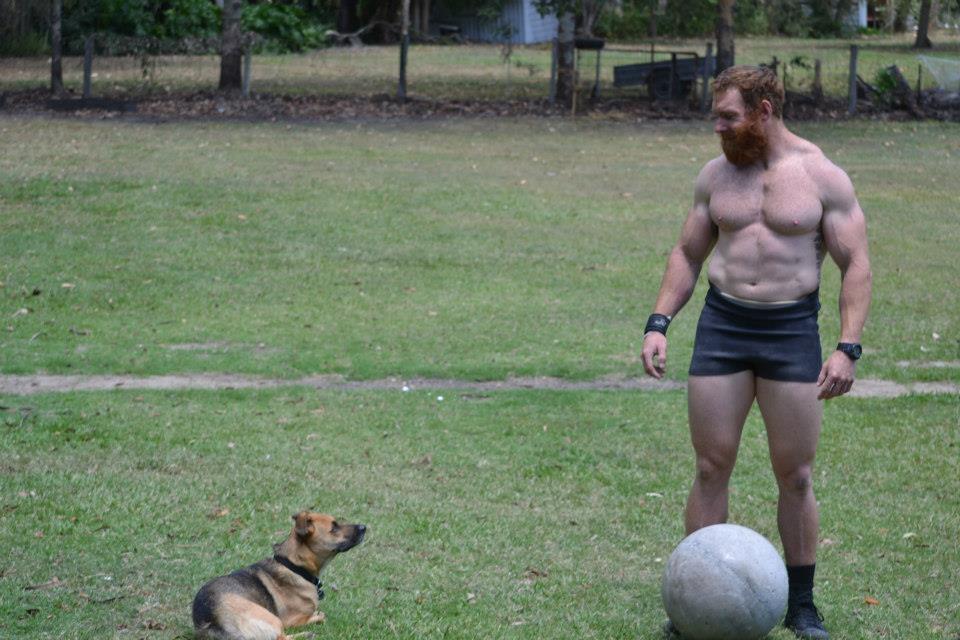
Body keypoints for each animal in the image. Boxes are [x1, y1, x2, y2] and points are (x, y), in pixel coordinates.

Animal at [192, 510, 366, 640]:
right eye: (334, 527)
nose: (364, 527)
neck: (294, 566)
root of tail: (213, 620)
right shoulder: (291, 620)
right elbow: (317, 616)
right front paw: (317, 617)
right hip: (272, 619)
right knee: (281, 637)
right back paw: (307, 634)